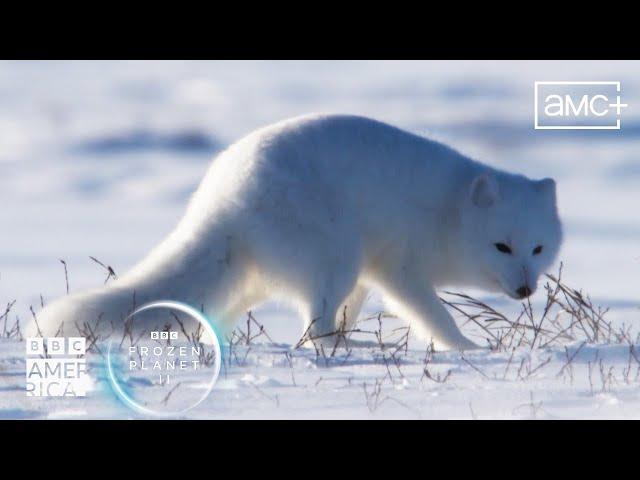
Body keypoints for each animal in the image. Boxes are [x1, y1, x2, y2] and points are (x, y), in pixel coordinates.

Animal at [28, 114, 560, 350]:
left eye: (538, 248)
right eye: (501, 246)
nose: (525, 290)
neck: (447, 214)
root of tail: (220, 199)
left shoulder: (369, 275)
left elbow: (352, 310)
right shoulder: (397, 269)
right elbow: (433, 314)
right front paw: (469, 349)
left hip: (262, 273)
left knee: (229, 316)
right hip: (334, 256)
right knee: (314, 326)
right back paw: (352, 348)